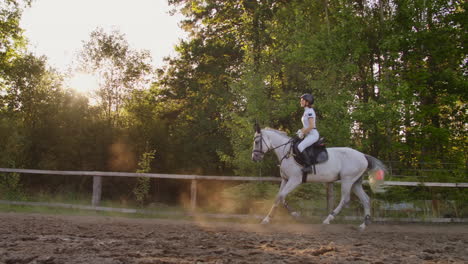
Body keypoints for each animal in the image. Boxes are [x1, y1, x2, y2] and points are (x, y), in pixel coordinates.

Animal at [252, 127, 388, 230]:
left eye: (257, 141)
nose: (254, 158)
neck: (287, 153)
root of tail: (363, 155)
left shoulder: (295, 180)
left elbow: (280, 197)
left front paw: (269, 219)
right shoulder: (285, 180)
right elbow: (280, 197)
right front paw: (291, 215)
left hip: (347, 180)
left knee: (345, 199)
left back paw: (328, 219)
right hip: (355, 182)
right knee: (365, 199)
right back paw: (363, 224)